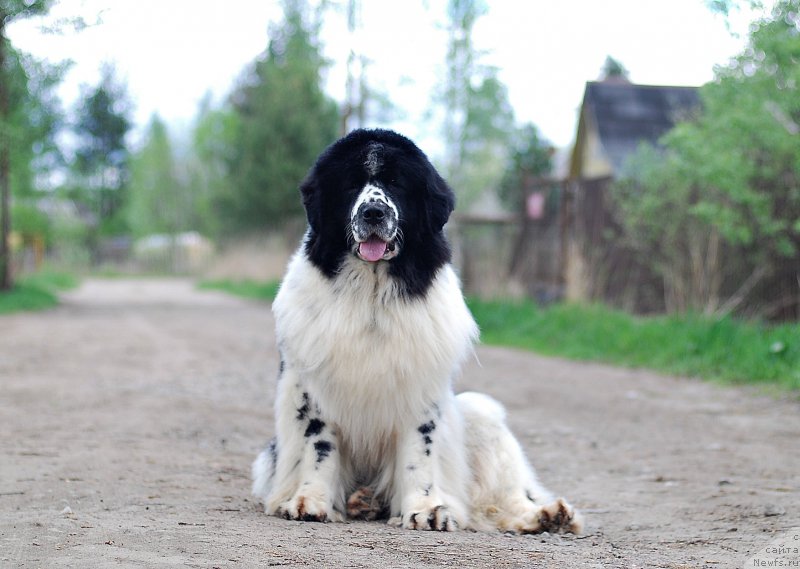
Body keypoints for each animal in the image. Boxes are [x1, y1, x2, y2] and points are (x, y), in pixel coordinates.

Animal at [252, 127, 580, 532]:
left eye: (396, 183)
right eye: (351, 184)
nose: (373, 212)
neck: (372, 295)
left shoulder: (420, 389)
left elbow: (418, 454)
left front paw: (425, 510)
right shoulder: (311, 389)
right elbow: (320, 448)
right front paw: (310, 502)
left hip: (479, 414)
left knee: (503, 497)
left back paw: (548, 515)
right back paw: (363, 501)